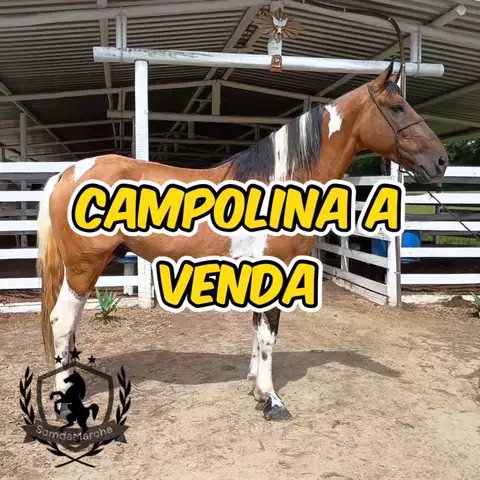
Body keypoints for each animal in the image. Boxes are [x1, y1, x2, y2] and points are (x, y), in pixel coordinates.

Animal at [37, 64, 448, 422]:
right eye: (397, 107)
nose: (441, 161)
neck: (280, 184)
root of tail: (68, 172)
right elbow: (269, 334)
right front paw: (272, 400)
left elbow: (257, 328)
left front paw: (255, 385)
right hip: (85, 266)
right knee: (62, 321)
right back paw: (65, 401)